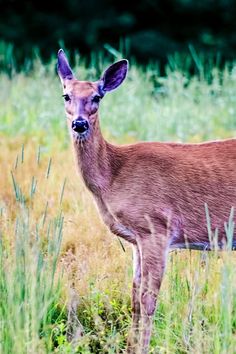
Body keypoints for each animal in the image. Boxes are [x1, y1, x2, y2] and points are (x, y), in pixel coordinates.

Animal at [57, 49, 236, 354]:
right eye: (66, 95)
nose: (79, 124)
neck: (113, 175)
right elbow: (134, 299)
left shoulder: (156, 228)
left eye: (97, 97)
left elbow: (148, 300)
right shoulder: (136, 239)